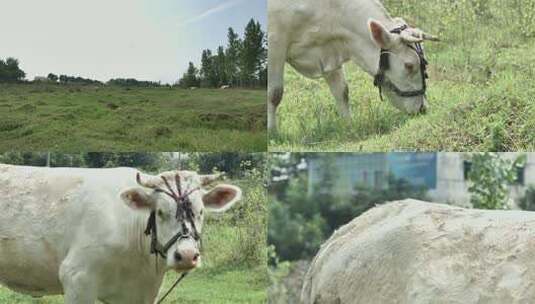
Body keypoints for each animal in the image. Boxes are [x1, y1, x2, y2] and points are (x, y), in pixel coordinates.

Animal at [268, 0, 440, 130]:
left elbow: (342, 91)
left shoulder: (329, 50)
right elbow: (274, 93)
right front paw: (272, 132)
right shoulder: (275, 41)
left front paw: (348, 125)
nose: (422, 108)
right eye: (409, 65)